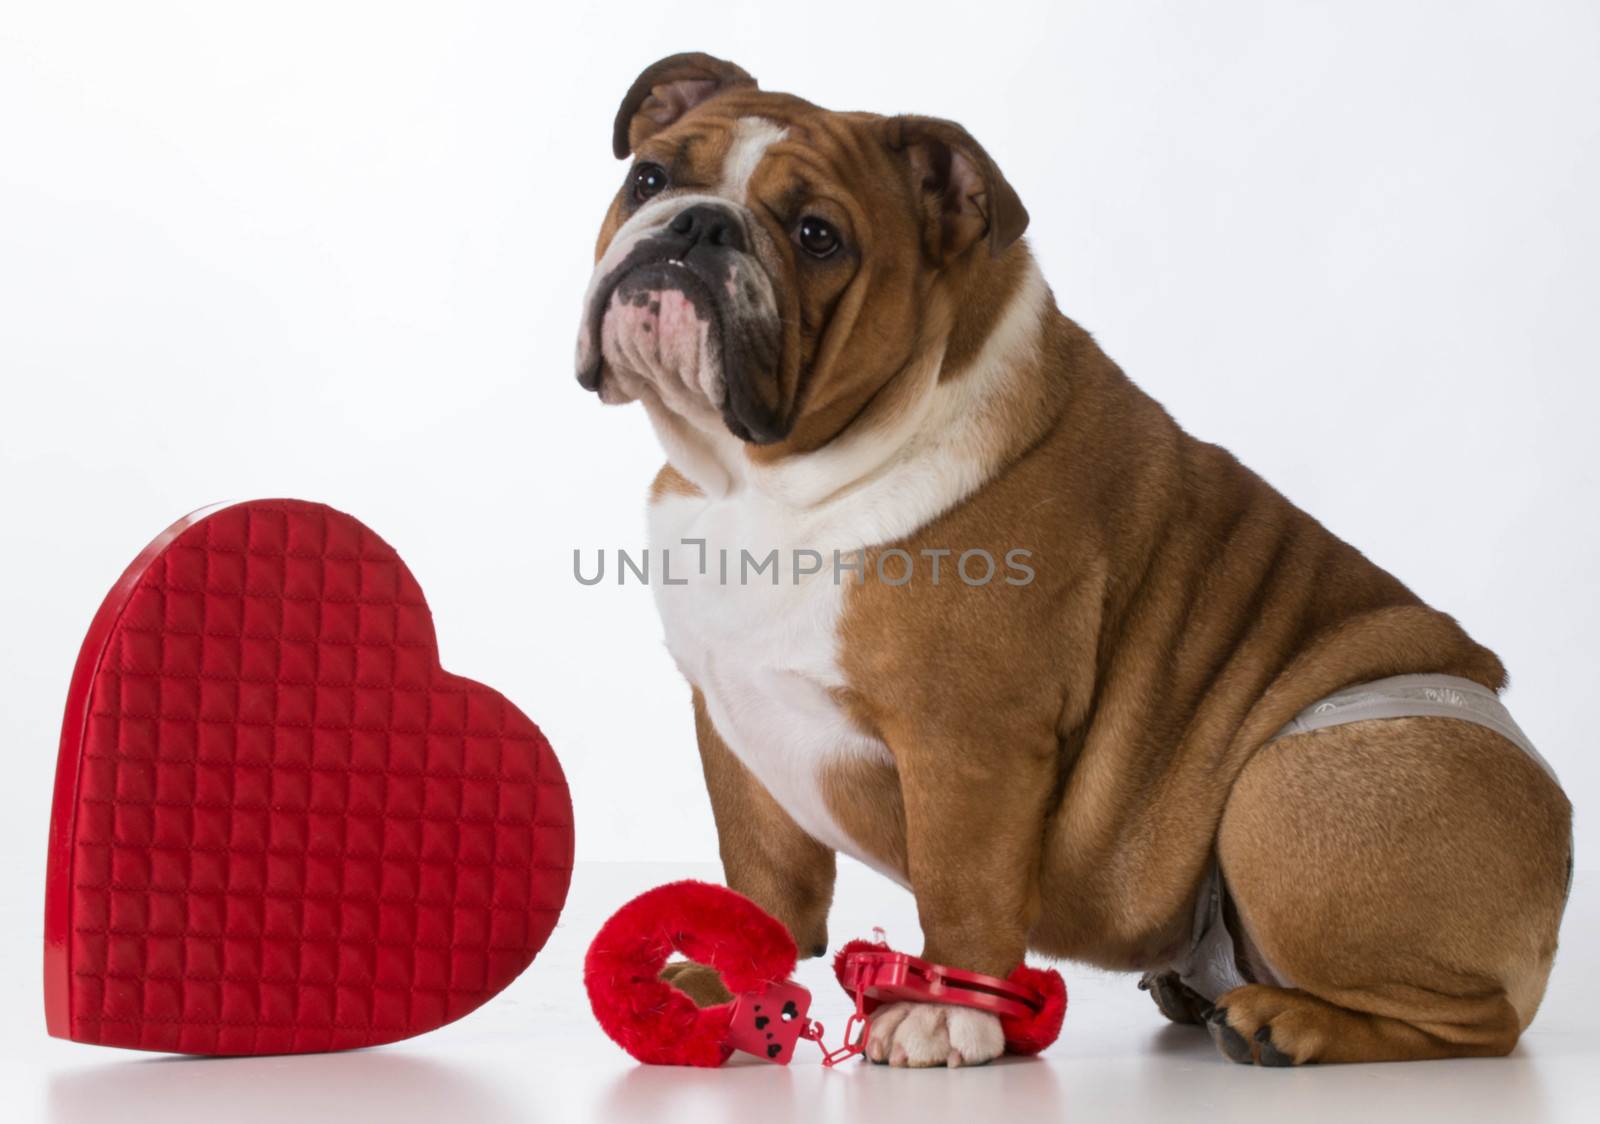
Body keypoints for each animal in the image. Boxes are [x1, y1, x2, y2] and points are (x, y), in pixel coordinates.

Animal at [572, 52, 1574, 1069]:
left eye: (818, 236)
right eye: (649, 178)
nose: (697, 225)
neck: (763, 480)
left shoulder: (969, 740)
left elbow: (964, 890)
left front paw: (943, 1011)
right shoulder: (734, 725)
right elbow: (761, 879)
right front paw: (723, 985)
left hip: (1287, 789)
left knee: (1480, 1023)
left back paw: (1289, 1024)